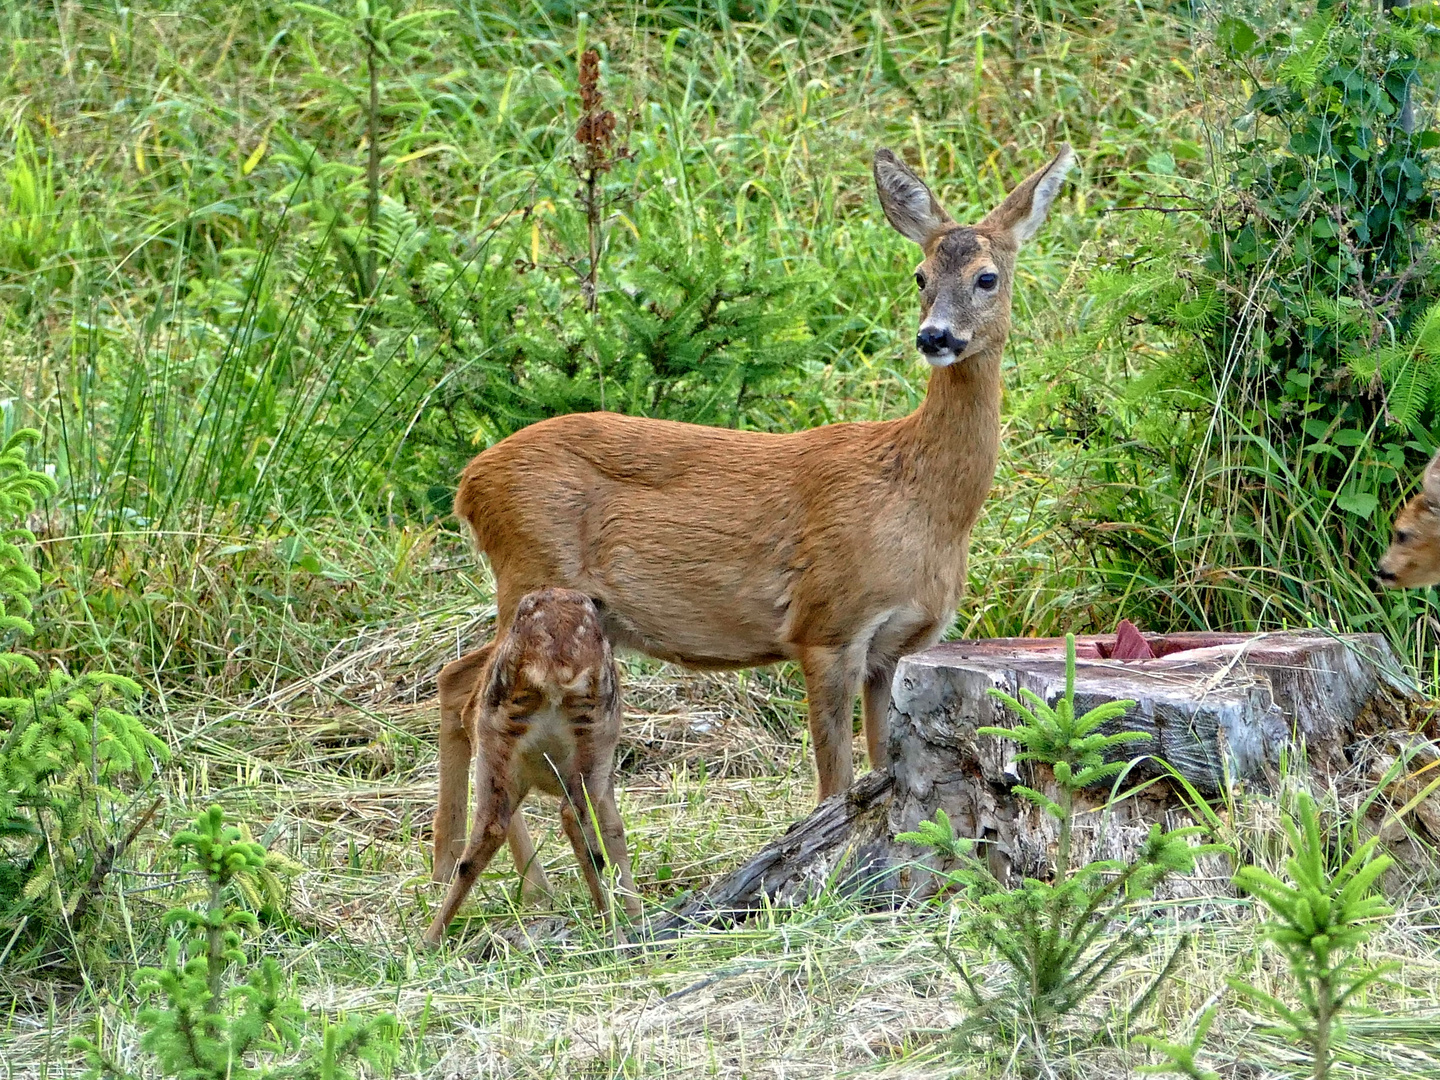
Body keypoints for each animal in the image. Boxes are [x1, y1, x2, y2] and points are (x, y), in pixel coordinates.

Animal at [420, 587, 639, 950]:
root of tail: (554, 666)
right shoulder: (605, 773)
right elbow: (614, 830)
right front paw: (636, 916)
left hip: (497, 735)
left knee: (488, 831)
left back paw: (430, 938)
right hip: (596, 736)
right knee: (576, 820)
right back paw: (614, 935)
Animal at [432, 144, 1077, 887]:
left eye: (986, 277)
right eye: (919, 274)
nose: (935, 336)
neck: (919, 500)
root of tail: (470, 483)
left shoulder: (892, 648)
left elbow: (881, 768)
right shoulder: (826, 624)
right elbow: (835, 784)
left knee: (456, 682)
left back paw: (458, 869)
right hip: (532, 573)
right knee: (474, 694)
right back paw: (510, 879)